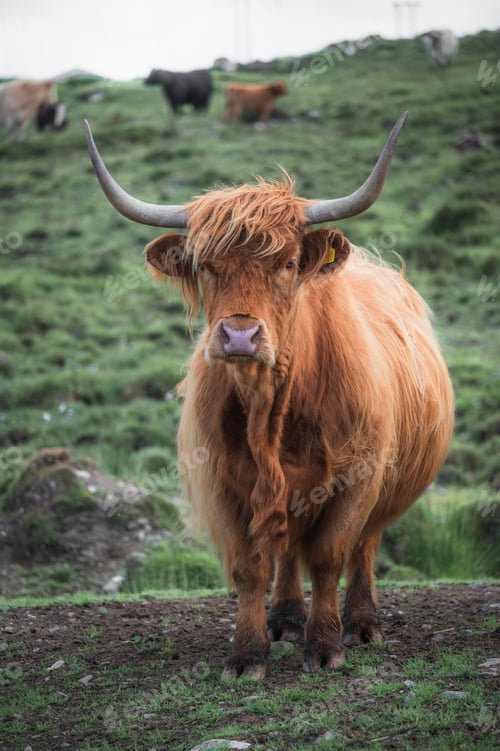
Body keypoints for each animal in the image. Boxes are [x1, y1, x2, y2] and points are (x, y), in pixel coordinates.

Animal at [84, 113, 454, 679]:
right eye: (204, 265)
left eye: (286, 263)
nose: (240, 335)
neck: (272, 412)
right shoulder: (222, 482)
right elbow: (249, 566)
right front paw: (247, 653)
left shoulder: (357, 476)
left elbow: (329, 556)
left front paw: (325, 647)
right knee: (287, 551)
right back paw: (284, 620)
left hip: (386, 487)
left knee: (363, 548)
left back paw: (362, 623)